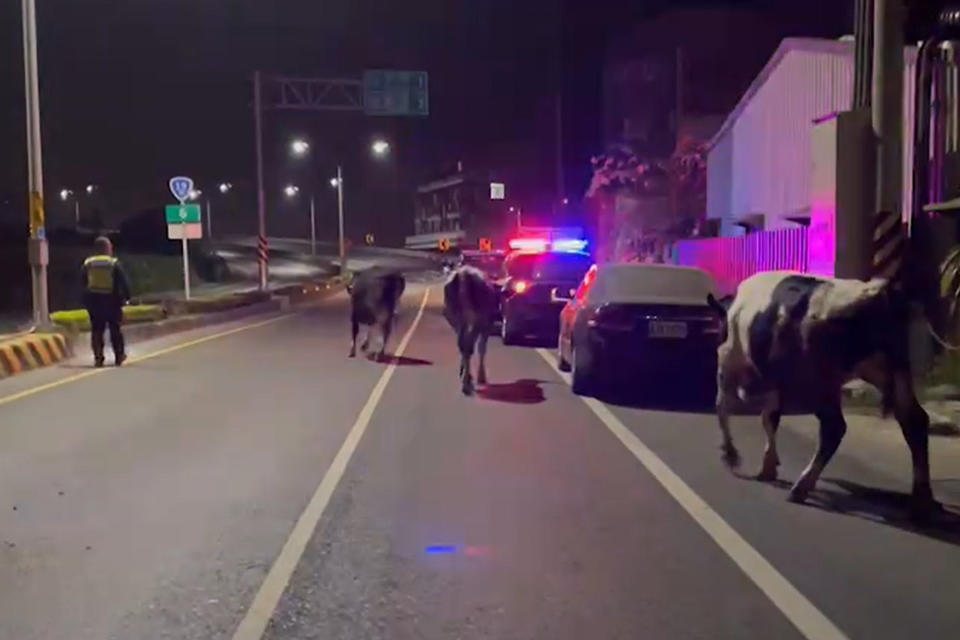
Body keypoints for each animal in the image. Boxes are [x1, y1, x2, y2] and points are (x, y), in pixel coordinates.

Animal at [444, 264, 498, 396]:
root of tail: (464, 275)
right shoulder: (486, 325)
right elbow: (481, 348)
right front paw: (481, 377)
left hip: (456, 317)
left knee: (462, 345)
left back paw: (466, 380)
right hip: (477, 319)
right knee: (469, 346)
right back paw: (467, 384)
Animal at [704, 272, 936, 516]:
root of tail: (877, 290)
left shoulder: (729, 361)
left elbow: (722, 406)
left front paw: (730, 455)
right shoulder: (776, 381)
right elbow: (769, 418)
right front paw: (768, 466)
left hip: (821, 383)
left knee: (834, 428)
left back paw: (801, 487)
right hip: (892, 371)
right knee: (915, 420)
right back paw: (922, 500)